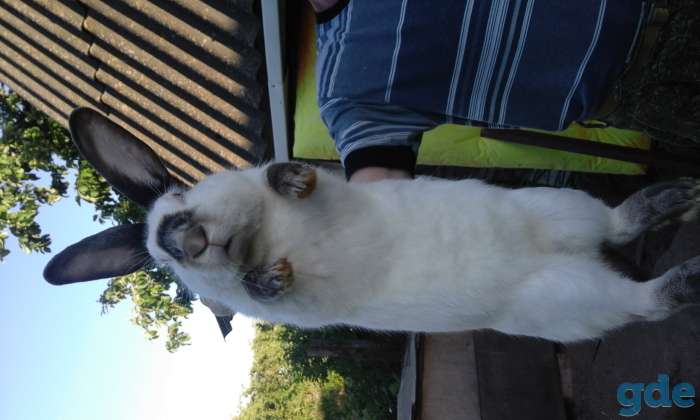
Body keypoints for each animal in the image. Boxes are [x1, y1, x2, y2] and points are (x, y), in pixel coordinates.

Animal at [44, 108, 700, 343]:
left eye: (180, 194)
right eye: (165, 262)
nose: (189, 240)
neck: (266, 237)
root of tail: (565, 253)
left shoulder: (333, 193)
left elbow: (295, 180)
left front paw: (288, 178)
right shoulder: (300, 309)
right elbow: (271, 292)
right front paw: (267, 278)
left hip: (554, 205)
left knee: (617, 224)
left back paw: (675, 196)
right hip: (568, 297)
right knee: (642, 293)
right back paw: (689, 263)